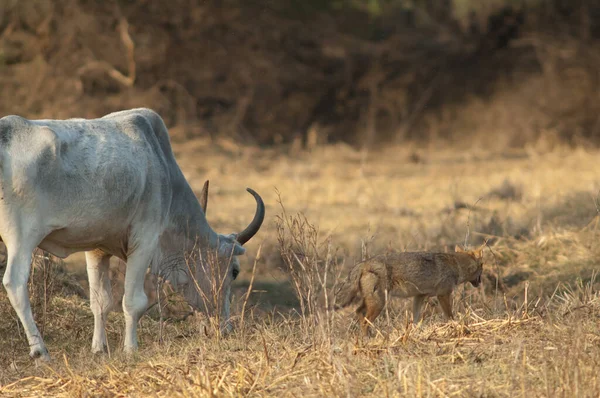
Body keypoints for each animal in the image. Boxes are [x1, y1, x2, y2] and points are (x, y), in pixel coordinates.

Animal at [0, 109, 264, 360]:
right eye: (234, 271)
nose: (224, 329)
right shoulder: (145, 239)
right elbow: (133, 301)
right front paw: (130, 349)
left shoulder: (96, 248)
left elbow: (100, 301)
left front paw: (99, 349)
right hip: (22, 238)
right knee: (15, 283)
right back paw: (40, 351)